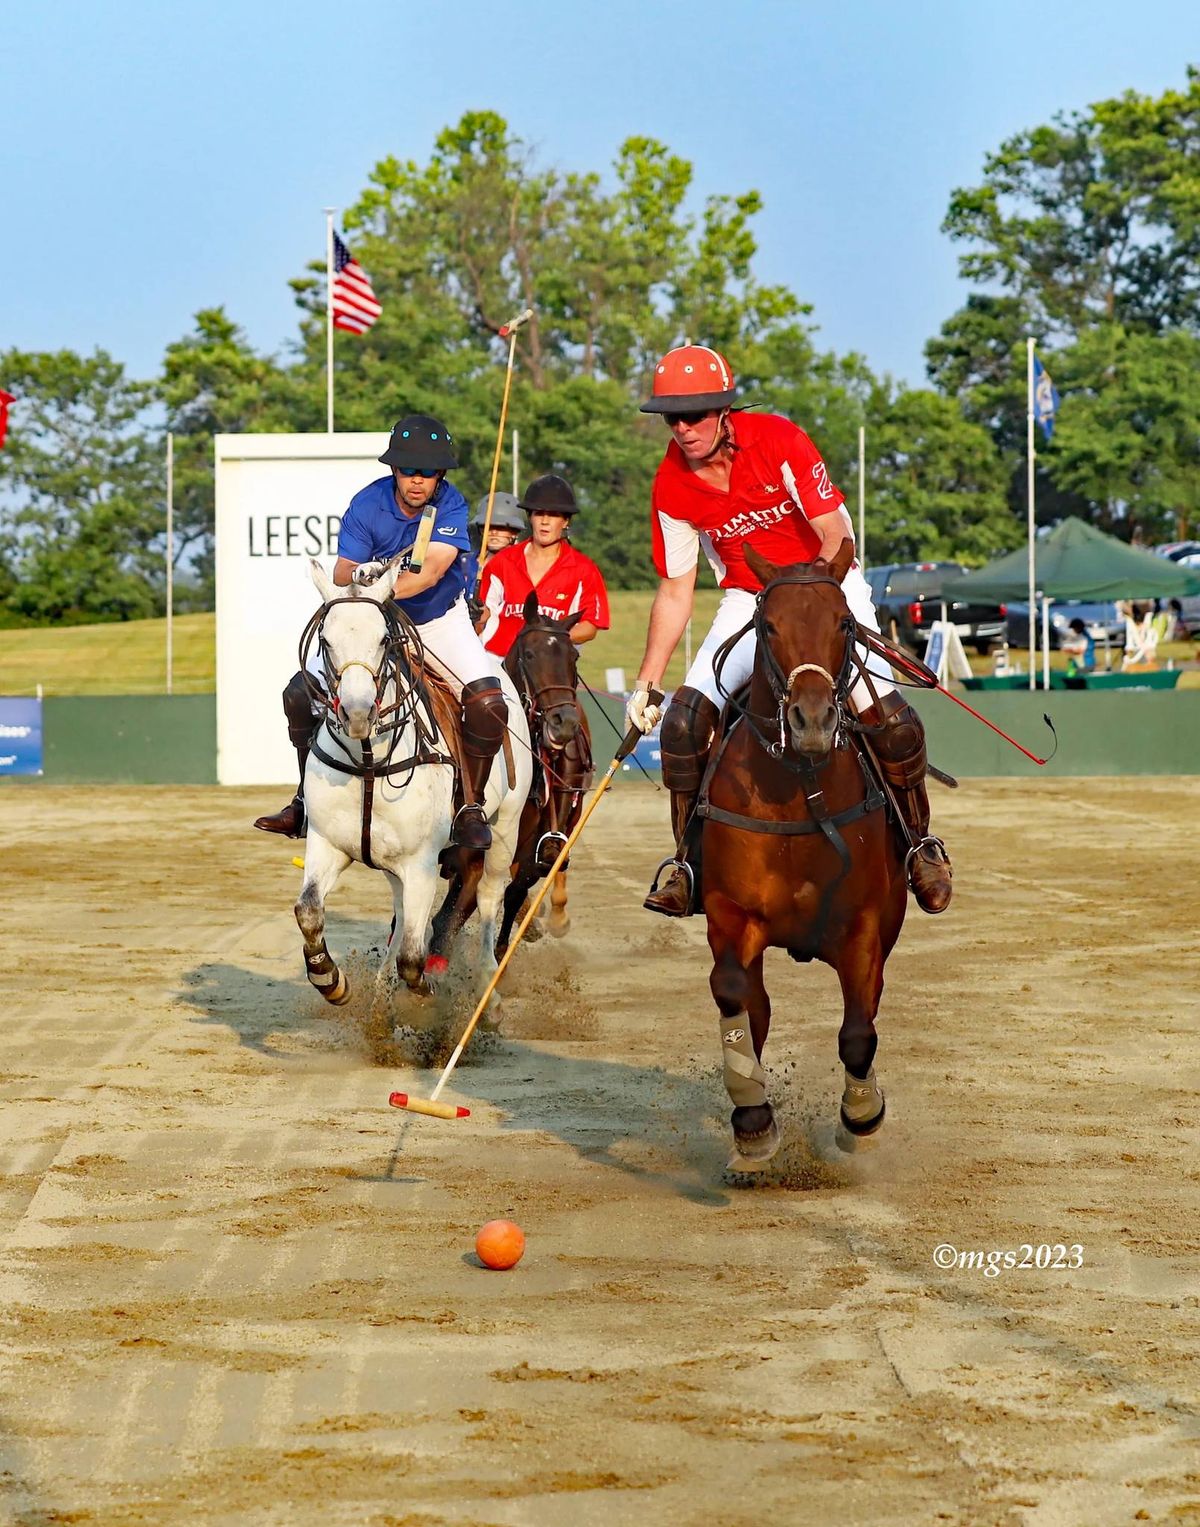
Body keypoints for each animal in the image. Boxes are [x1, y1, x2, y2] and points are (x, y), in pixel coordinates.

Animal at [291, 561, 531, 1013]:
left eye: (384, 639)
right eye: (326, 640)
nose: (357, 714)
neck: (368, 759)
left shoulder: (421, 861)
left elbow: (413, 957)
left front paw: (427, 994)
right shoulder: (326, 844)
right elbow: (309, 911)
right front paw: (330, 979)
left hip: (505, 827)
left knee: (490, 897)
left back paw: (487, 994)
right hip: (392, 864)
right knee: (403, 915)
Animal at [696, 543, 903, 1172]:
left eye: (843, 624)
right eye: (768, 625)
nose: (811, 723)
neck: (799, 788)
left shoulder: (862, 928)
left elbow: (858, 1031)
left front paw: (860, 1115)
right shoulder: (729, 913)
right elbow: (734, 996)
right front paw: (753, 1121)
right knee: (754, 1008)